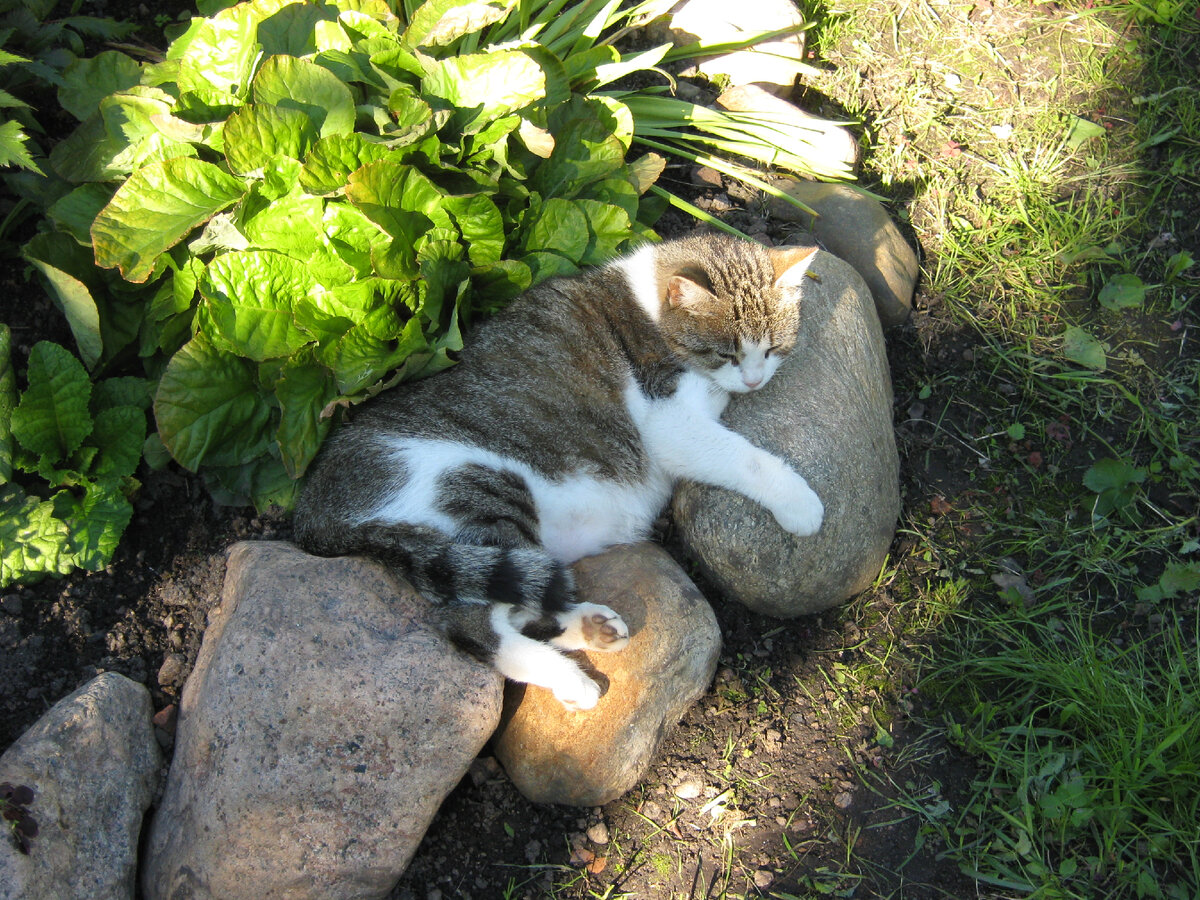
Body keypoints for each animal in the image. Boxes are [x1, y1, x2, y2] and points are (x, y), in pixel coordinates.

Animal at [292, 232, 825, 710]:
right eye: (725, 353)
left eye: (772, 349)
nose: (753, 381)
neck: (650, 308)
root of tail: (311, 509)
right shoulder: (669, 420)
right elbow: (743, 456)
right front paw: (800, 502)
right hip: (478, 487)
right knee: (472, 623)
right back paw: (570, 679)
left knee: (528, 598)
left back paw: (592, 627)